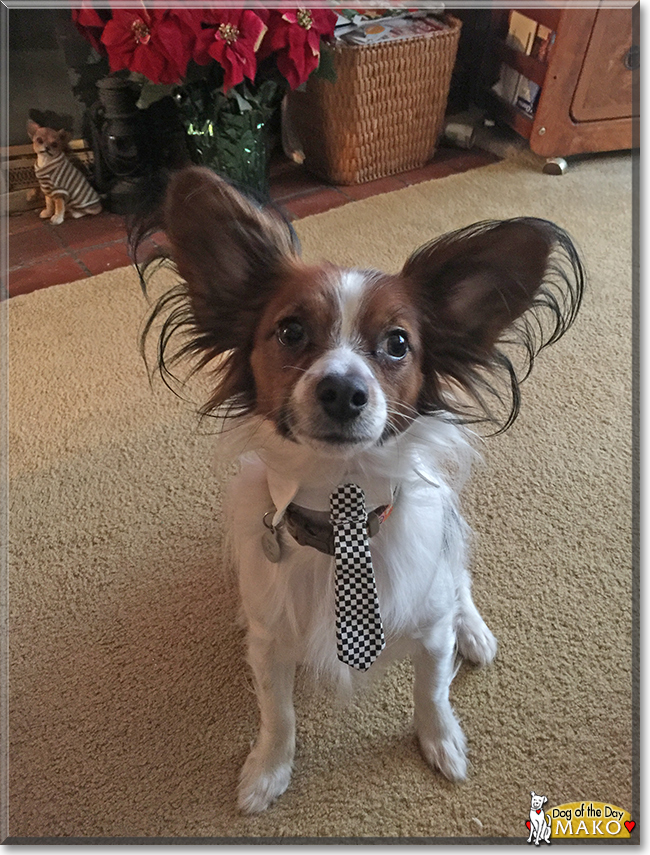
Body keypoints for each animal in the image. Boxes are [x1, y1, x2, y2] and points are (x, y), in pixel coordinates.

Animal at [135, 167, 584, 816]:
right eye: (291, 331)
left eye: (398, 343)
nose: (344, 391)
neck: (341, 516)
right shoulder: (271, 649)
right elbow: (278, 716)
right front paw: (267, 772)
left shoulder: (429, 633)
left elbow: (432, 693)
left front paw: (442, 743)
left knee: (460, 581)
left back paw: (473, 632)